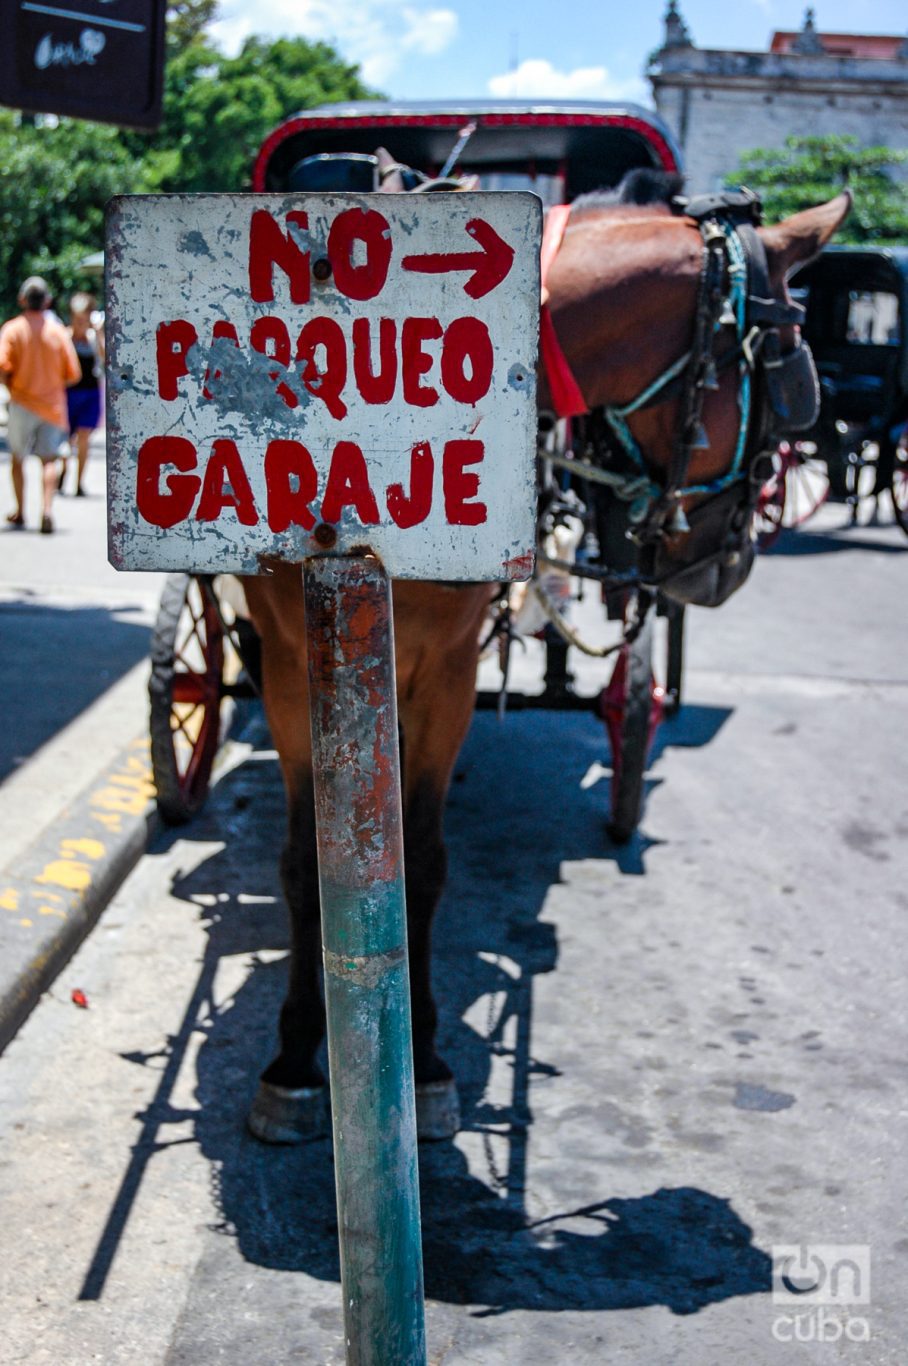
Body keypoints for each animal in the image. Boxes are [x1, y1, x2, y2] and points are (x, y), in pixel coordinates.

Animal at [243, 176, 852, 1147]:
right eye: (791, 388)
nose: (730, 563)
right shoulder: (286, 664)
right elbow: (304, 864)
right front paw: (295, 1056)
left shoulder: (448, 675)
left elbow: (424, 861)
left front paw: (424, 1056)